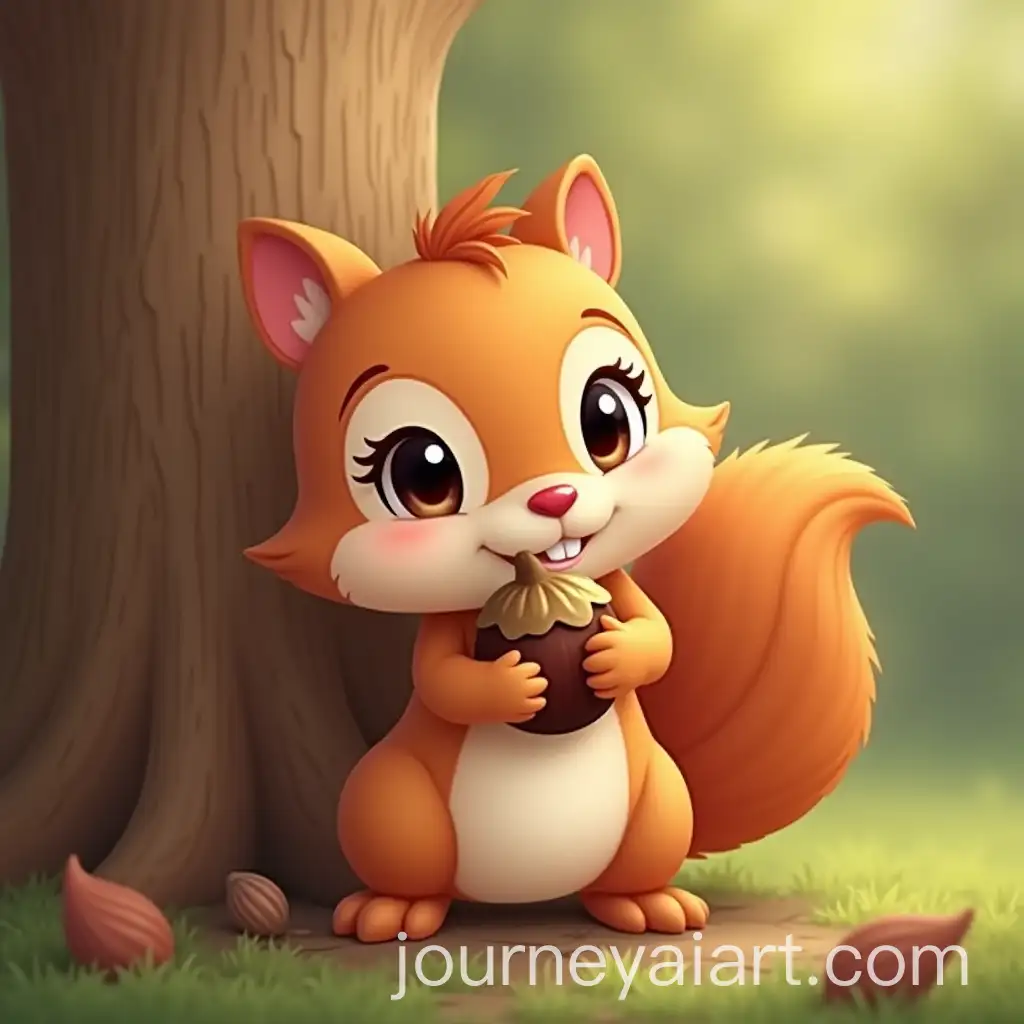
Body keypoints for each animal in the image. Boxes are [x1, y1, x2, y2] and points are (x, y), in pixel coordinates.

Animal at [237, 154, 913, 945]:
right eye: (421, 473)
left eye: (607, 417)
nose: (553, 500)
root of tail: (520, 899)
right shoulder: (444, 630)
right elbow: (439, 677)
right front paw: (509, 685)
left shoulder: (614, 586)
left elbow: (660, 637)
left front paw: (616, 655)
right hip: (392, 804)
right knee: (405, 855)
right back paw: (396, 909)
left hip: (661, 803)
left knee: (632, 872)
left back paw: (647, 905)